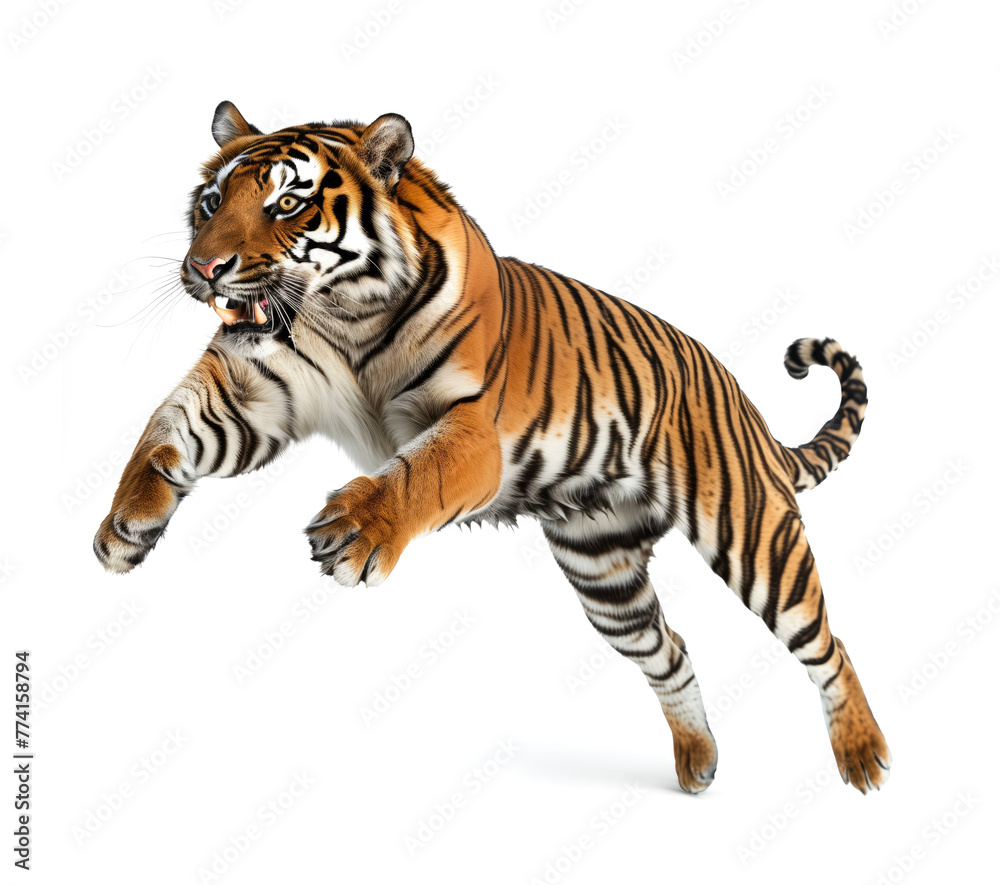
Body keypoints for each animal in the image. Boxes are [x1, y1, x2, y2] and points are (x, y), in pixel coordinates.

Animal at [94, 101, 890, 795]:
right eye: (210, 203)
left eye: (288, 204)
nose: (204, 269)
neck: (343, 317)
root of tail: (739, 395)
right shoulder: (252, 390)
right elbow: (165, 427)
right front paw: (126, 526)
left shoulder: (473, 432)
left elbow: (417, 475)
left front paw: (357, 532)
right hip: (606, 575)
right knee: (671, 652)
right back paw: (698, 764)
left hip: (753, 534)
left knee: (826, 642)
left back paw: (864, 756)